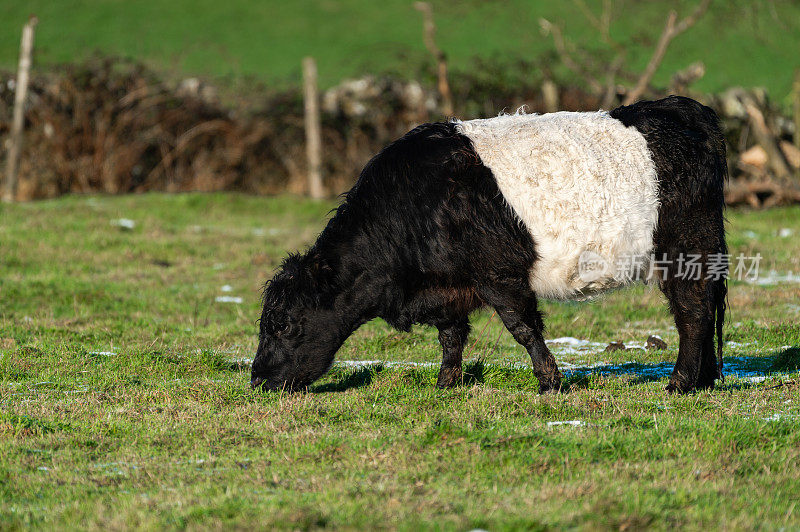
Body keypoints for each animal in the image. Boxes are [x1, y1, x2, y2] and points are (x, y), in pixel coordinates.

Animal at [253, 96, 728, 394]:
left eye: (285, 325)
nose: (257, 378)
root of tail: (679, 106)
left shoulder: (498, 274)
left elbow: (523, 328)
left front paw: (549, 382)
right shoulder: (447, 288)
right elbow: (451, 336)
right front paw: (446, 384)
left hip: (686, 249)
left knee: (693, 311)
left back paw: (680, 384)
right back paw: (702, 380)